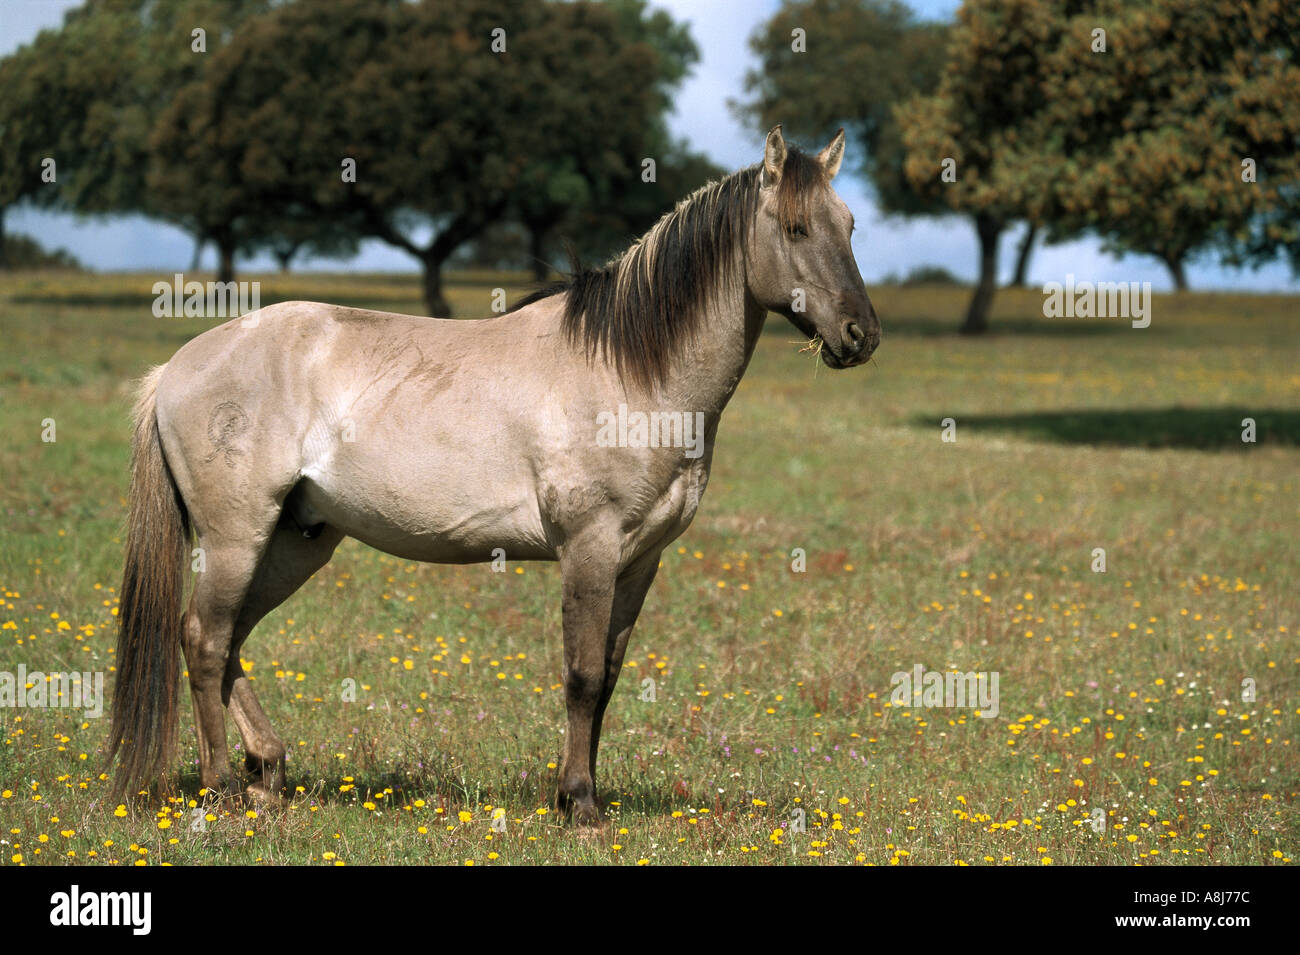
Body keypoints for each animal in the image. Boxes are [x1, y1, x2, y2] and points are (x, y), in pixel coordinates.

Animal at [107, 125, 880, 825]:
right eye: (796, 227)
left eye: (849, 226)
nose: (860, 336)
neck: (630, 373)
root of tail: (175, 368)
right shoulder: (590, 548)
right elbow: (582, 675)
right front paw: (581, 805)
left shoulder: (641, 561)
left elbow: (608, 679)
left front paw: (576, 793)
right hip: (236, 536)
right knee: (206, 640)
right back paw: (221, 788)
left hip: (297, 540)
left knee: (228, 638)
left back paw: (266, 770)